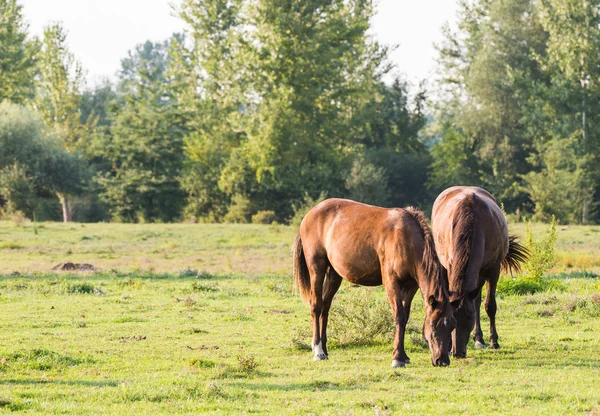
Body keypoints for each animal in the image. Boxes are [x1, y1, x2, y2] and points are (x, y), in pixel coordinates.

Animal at [292, 198, 454, 368]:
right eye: (434, 325)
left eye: (452, 326)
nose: (443, 361)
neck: (406, 239)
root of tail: (310, 214)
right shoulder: (391, 283)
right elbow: (399, 316)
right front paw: (397, 358)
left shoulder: (411, 287)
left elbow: (405, 316)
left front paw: (404, 356)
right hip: (317, 268)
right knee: (316, 306)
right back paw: (318, 351)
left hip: (334, 274)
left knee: (325, 306)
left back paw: (324, 349)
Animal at [432, 187, 528, 356]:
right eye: (451, 319)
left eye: (469, 319)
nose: (458, 352)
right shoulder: (450, 266)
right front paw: (448, 347)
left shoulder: (493, 270)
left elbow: (490, 305)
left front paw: (494, 341)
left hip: (480, 273)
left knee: (476, 300)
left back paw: (479, 339)